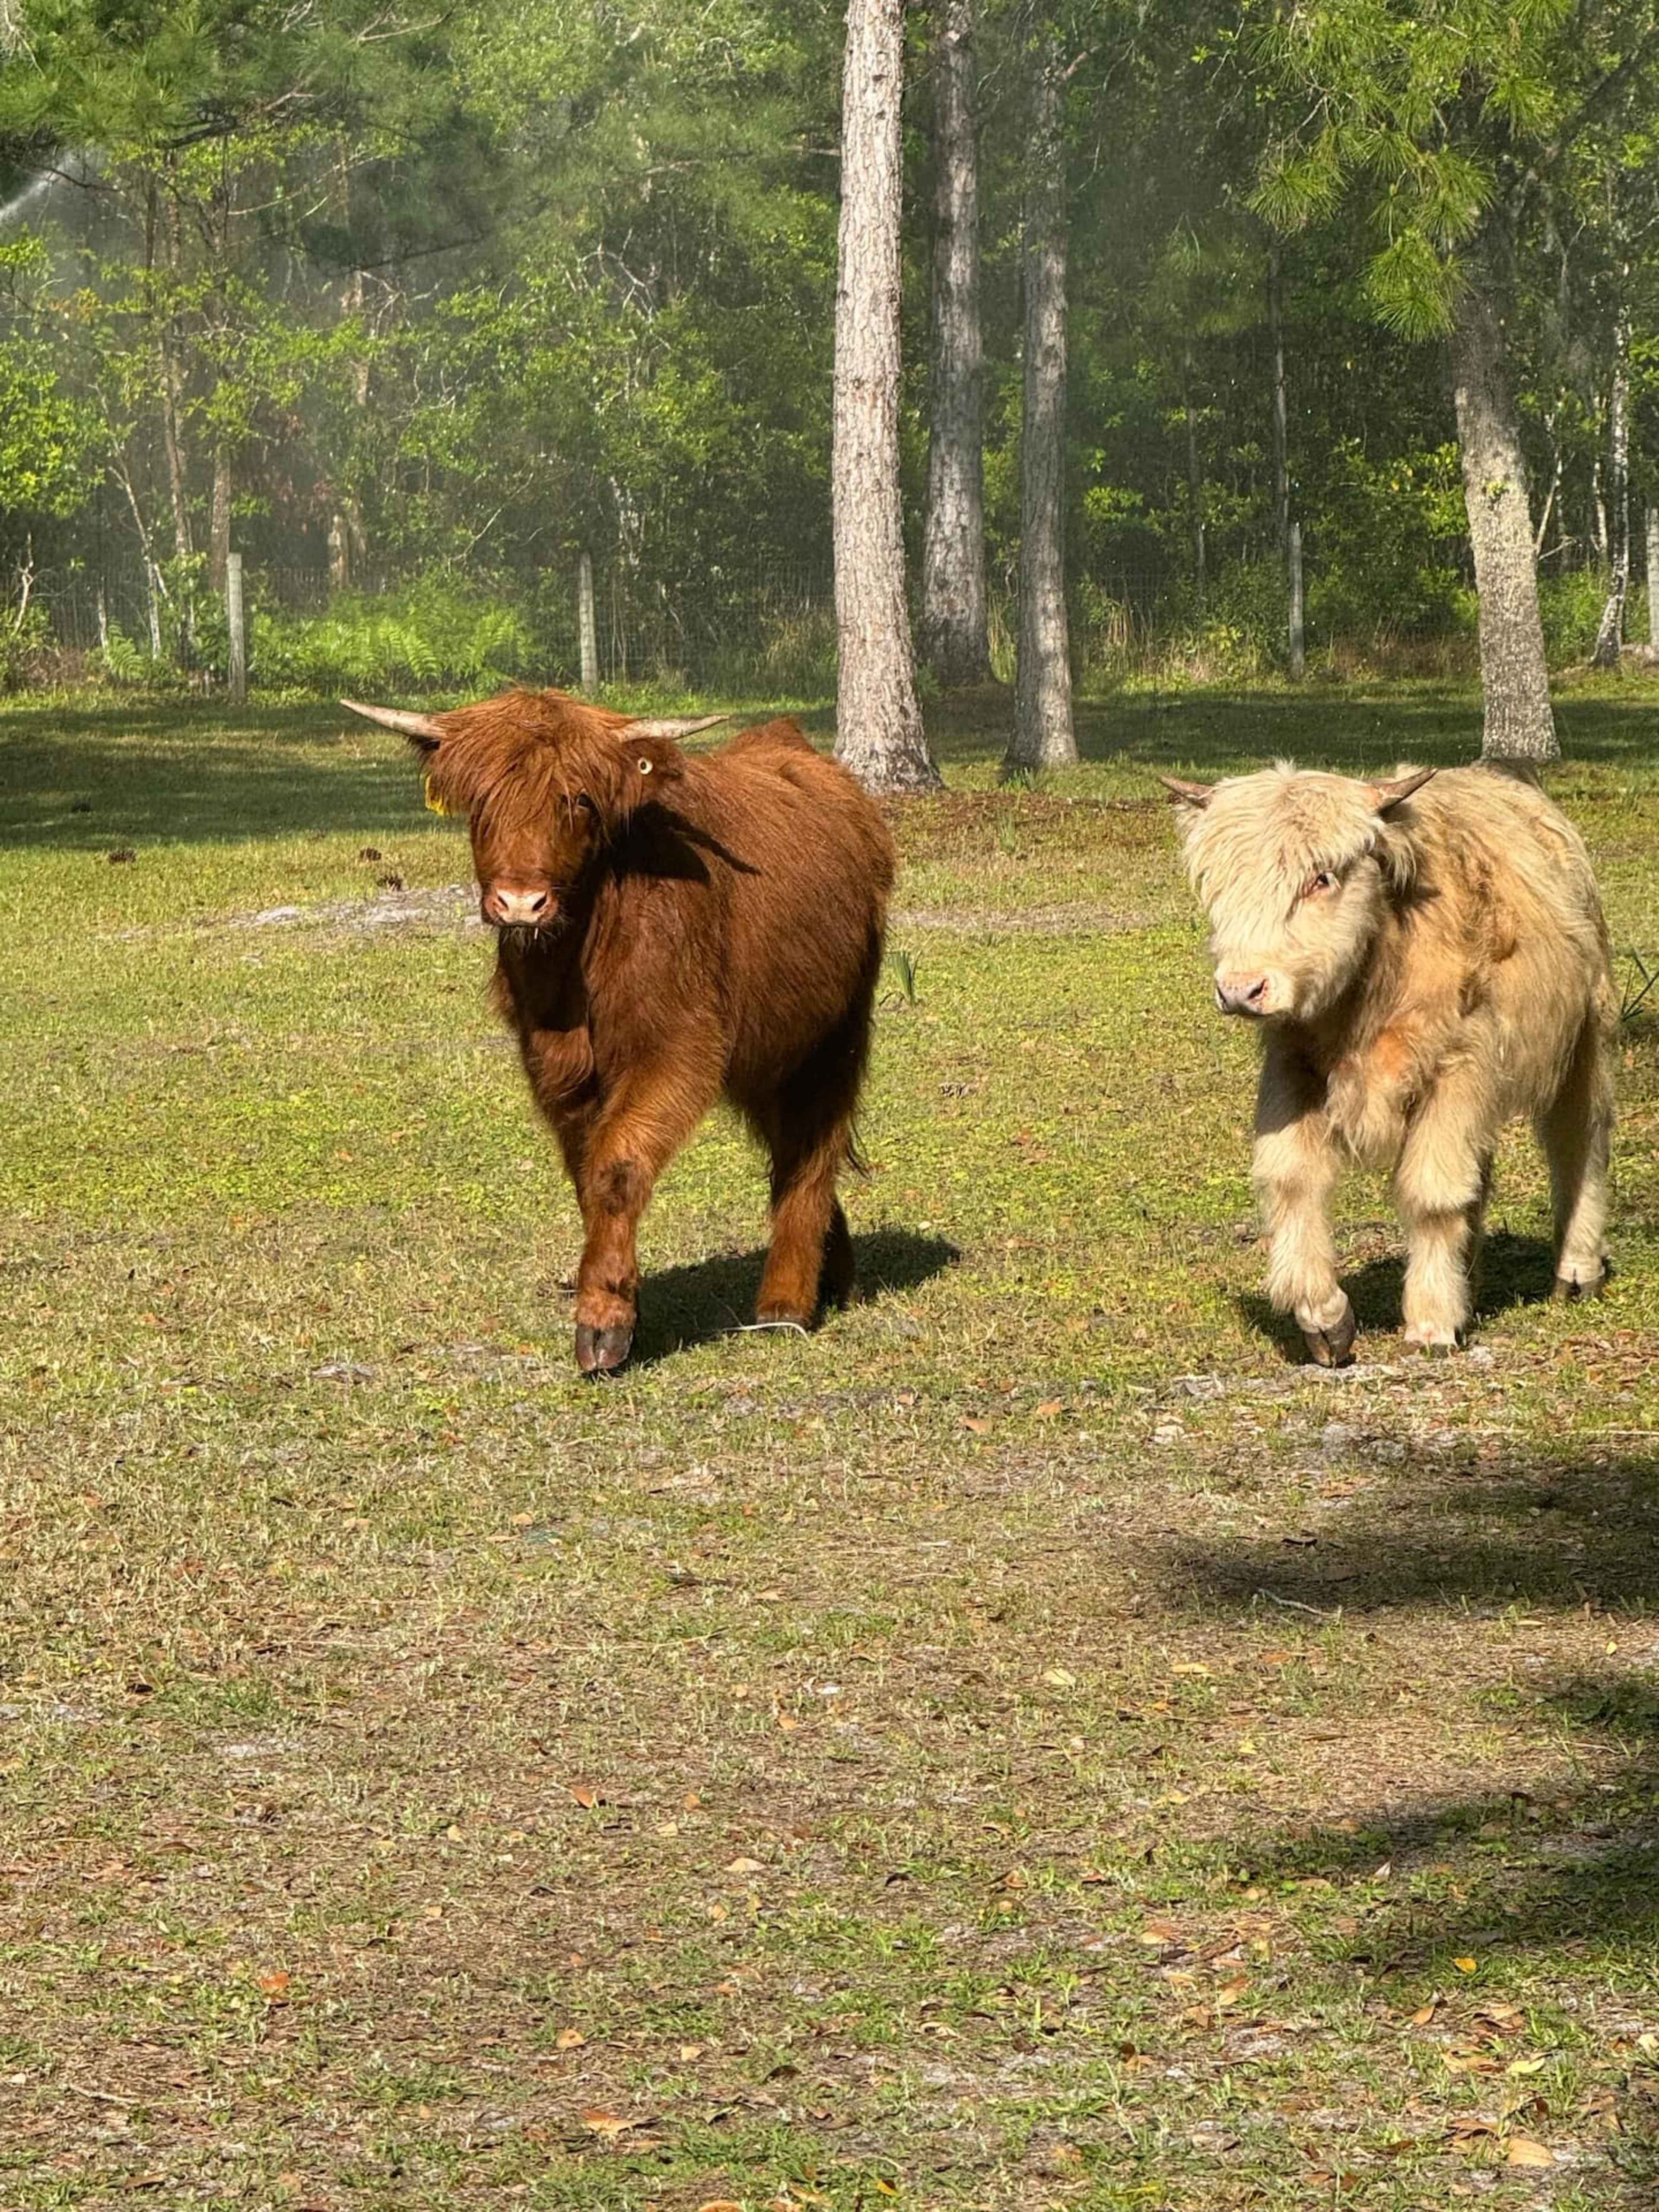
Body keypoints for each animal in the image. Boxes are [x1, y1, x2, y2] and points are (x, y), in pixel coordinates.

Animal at [342, 689, 894, 1375]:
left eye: (578, 801)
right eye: (482, 799)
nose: (521, 903)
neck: (576, 956)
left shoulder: (678, 1048)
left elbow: (618, 1166)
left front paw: (604, 1325)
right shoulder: (553, 1063)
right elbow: (587, 1172)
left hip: (836, 1032)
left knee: (813, 1147)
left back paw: (786, 1305)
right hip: (772, 1045)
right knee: (791, 1143)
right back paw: (837, 1277)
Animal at [1163, 762, 1615, 1365]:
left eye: (1322, 878)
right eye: (1221, 882)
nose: (1242, 989)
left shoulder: (1458, 1067)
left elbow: (1432, 1191)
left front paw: (1431, 1321)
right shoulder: (1292, 1069)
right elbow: (1290, 1179)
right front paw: (1324, 1318)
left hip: (1584, 1038)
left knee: (1579, 1138)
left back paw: (1577, 1269)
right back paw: (1469, 1275)